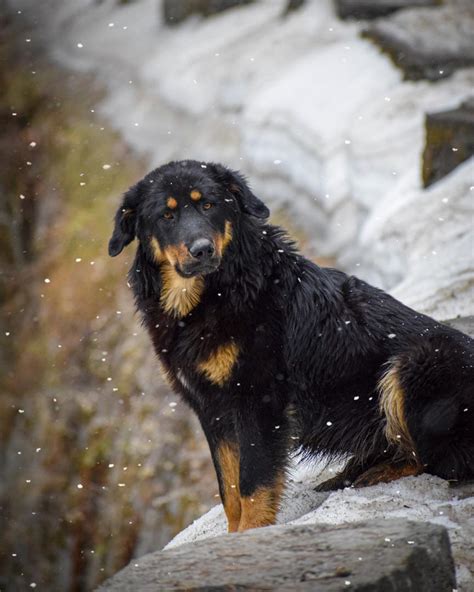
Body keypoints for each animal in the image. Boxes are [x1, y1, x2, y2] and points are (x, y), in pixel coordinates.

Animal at [108, 160, 474, 536]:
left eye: (208, 205)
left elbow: (253, 485)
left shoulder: (258, 399)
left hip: (419, 362)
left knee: (439, 461)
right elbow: (229, 490)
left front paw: (250, 535)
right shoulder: (211, 409)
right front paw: (233, 536)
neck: (211, 296)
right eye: (166, 216)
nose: (202, 249)